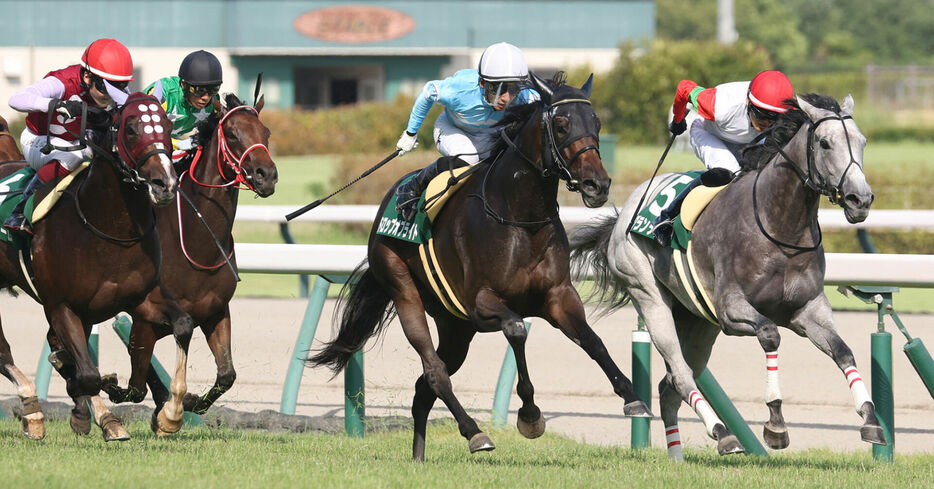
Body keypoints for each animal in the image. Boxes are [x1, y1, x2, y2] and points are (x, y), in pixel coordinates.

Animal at [0, 93, 195, 440]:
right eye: (130, 128)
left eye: (167, 125)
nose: (165, 184)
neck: (109, 227)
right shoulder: (61, 305)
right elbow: (87, 374)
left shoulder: (139, 298)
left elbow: (183, 324)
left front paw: (170, 414)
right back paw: (33, 409)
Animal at [103, 92, 280, 416]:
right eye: (232, 134)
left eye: (267, 133)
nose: (267, 176)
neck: (198, 243)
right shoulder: (145, 320)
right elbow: (135, 387)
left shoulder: (215, 312)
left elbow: (227, 375)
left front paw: (190, 402)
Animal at [310, 72, 656, 462]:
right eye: (562, 125)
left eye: (597, 124)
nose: (598, 184)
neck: (520, 217)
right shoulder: (481, 304)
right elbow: (517, 330)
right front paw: (530, 416)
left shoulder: (558, 296)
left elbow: (593, 341)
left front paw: (633, 399)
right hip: (404, 289)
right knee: (434, 372)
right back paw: (475, 433)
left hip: (455, 328)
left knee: (423, 388)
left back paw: (419, 456)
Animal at [572, 94, 884, 458]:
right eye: (824, 142)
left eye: (863, 141)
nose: (860, 199)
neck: (780, 225)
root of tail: (624, 214)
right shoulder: (731, 310)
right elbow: (770, 335)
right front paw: (775, 423)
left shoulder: (808, 310)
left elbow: (843, 351)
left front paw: (871, 419)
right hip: (649, 296)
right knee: (680, 374)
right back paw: (722, 433)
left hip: (698, 323)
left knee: (669, 387)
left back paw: (680, 455)